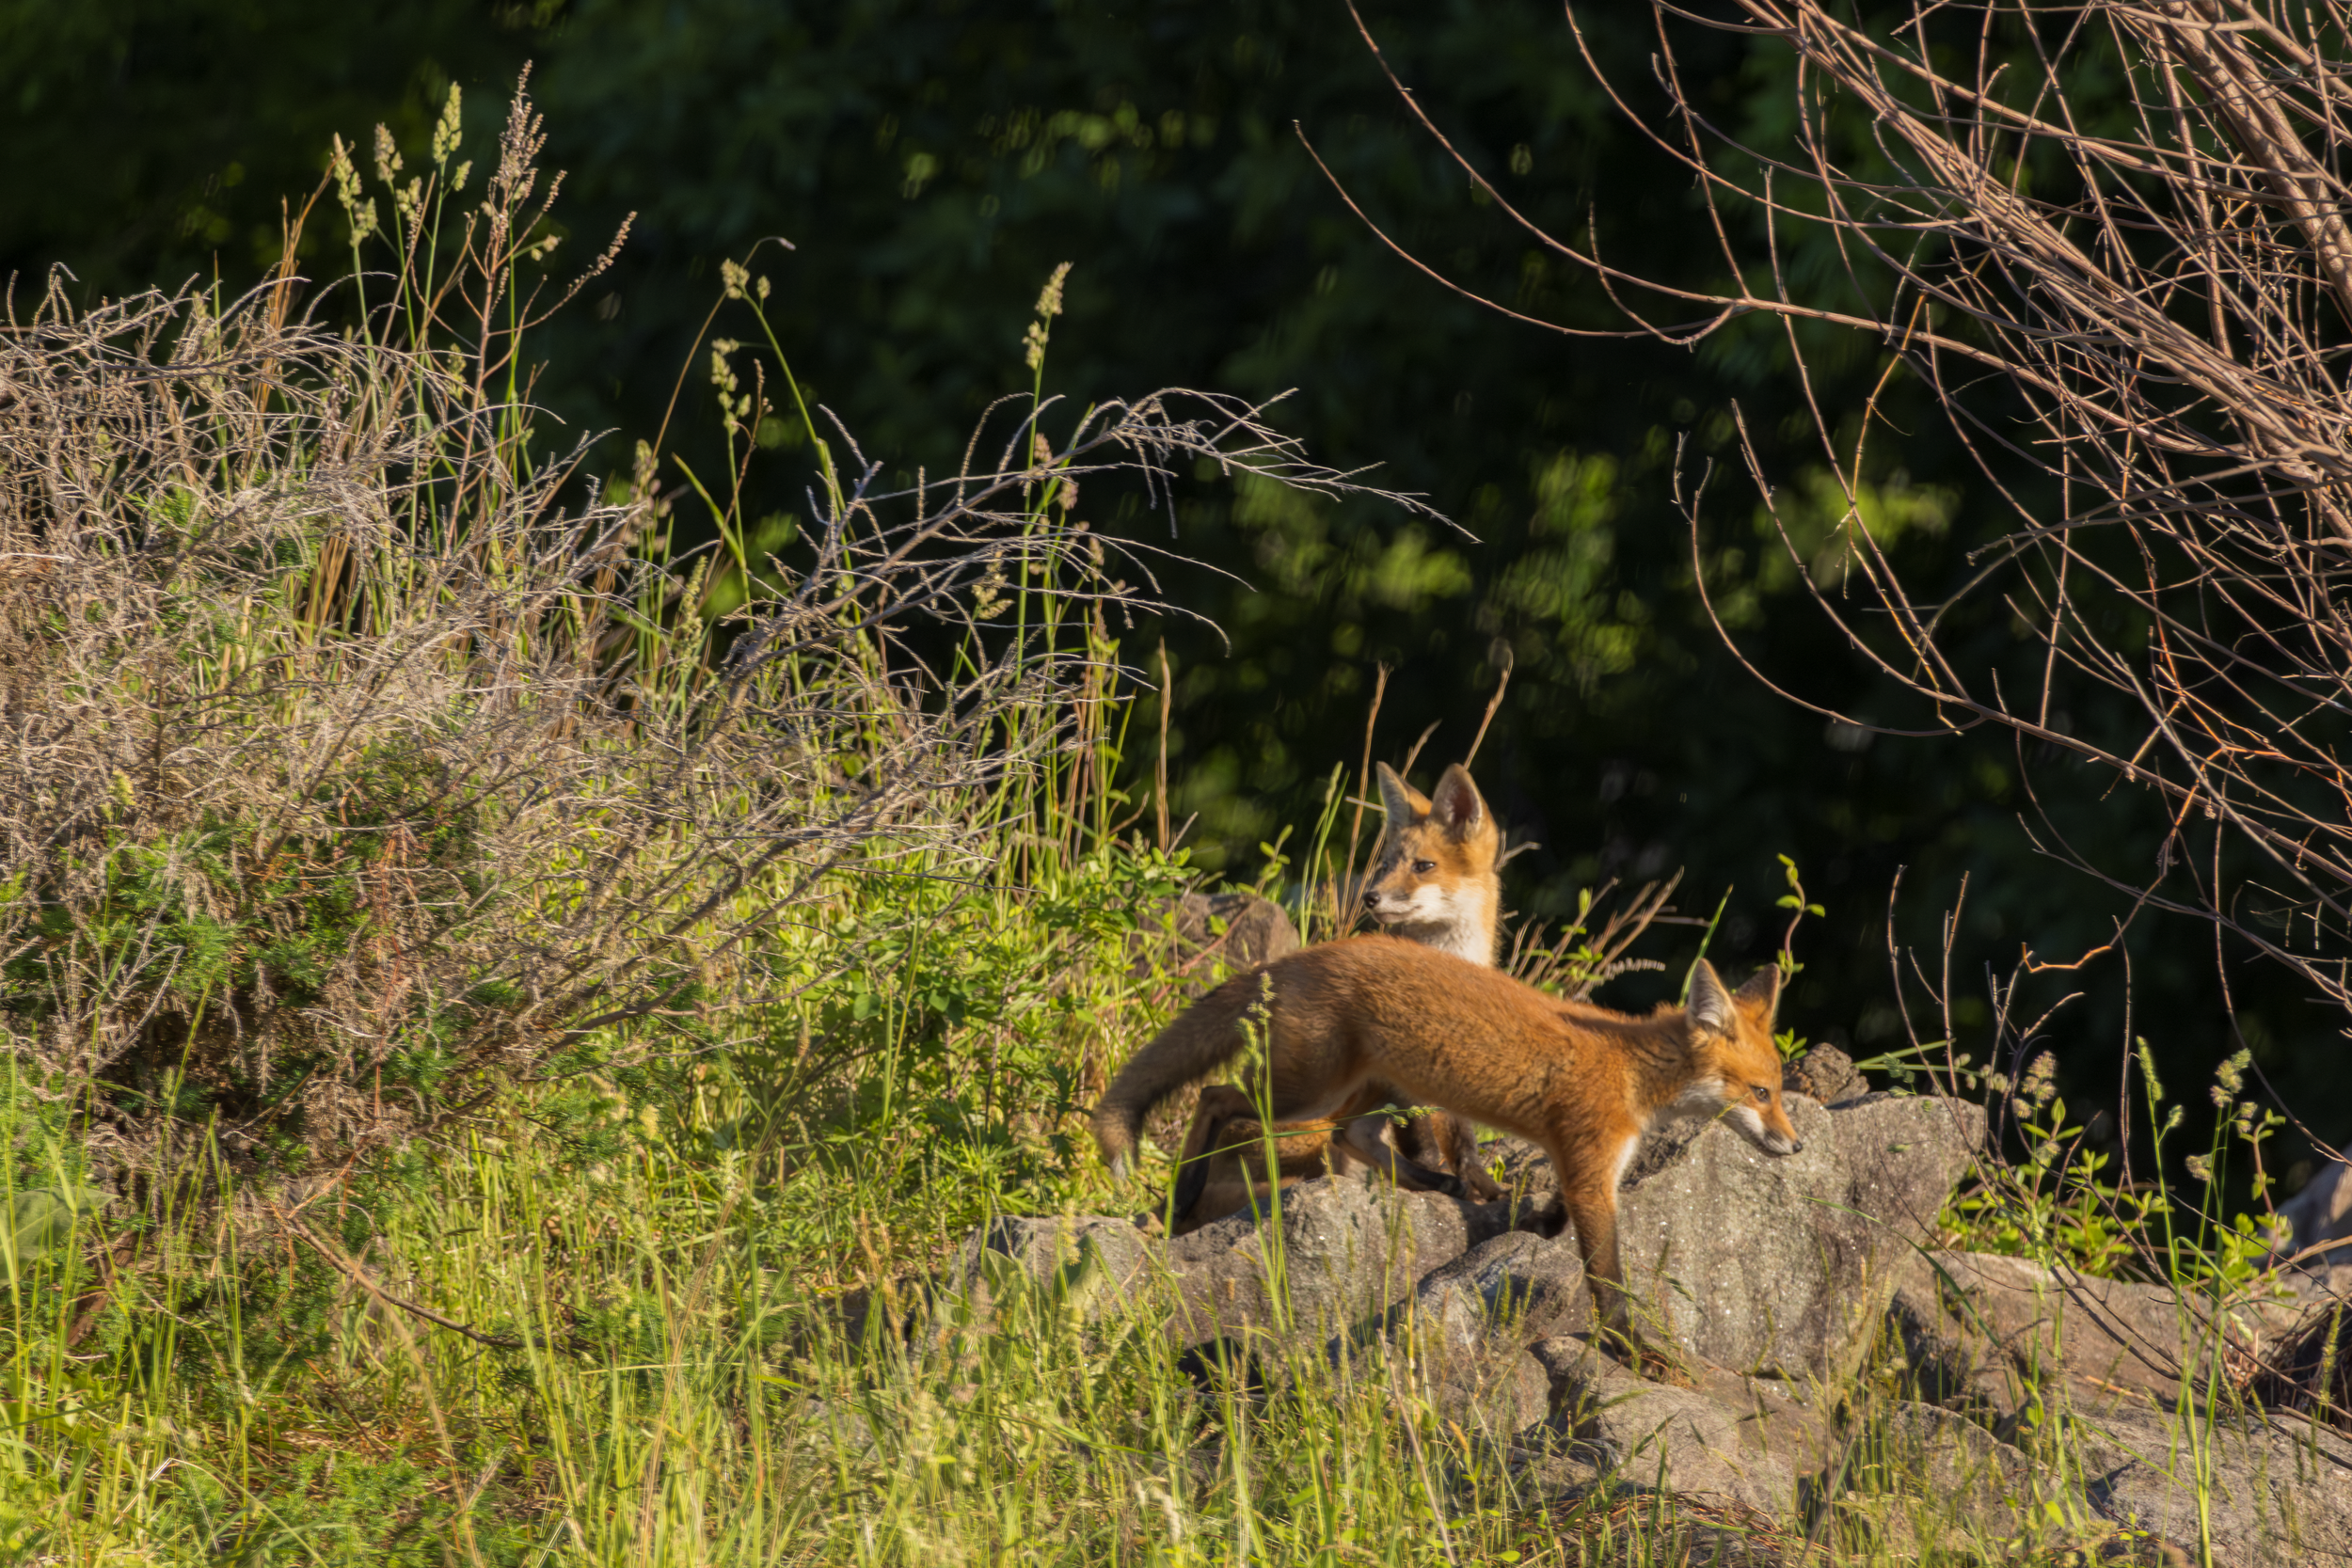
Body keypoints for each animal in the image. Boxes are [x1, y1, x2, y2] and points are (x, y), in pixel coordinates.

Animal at [1095, 937, 1802, 1356]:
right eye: (1762, 1092)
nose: (1795, 1147)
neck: (1632, 1073)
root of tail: (1306, 953)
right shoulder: (1590, 1165)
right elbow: (1608, 1276)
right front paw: (1633, 1349)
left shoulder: (1579, 1168)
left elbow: (1561, 1216)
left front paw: (1537, 1220)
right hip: (1302, 1093)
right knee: (1215, 1097)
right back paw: (1181, 1196)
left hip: (1374, 1086)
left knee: (1351, 1133)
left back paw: (1435, 1183)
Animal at [1160, 761, 1503, 1232]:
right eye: (1385, 865)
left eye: (1424, 865)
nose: (1371, 896)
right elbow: (1423, 1138)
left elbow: (1463, 1140)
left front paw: (1482, 1187)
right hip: (1313, 1101)